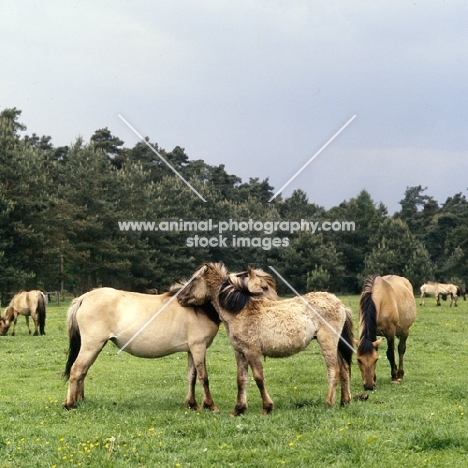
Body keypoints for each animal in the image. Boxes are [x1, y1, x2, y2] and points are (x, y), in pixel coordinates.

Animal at [177, 264, 352, 416]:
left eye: (194, 279)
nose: (179, 297)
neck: (241, 310)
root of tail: (341, 304)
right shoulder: (239, 352)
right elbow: (241, 379)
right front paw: (238, 410)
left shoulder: (252, 352)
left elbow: (259, 378)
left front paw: (266, 408)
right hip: (336, 344)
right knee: (344, 369)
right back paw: (345, 402)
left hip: (327, 342)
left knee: (334, 370)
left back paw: (329, 403)